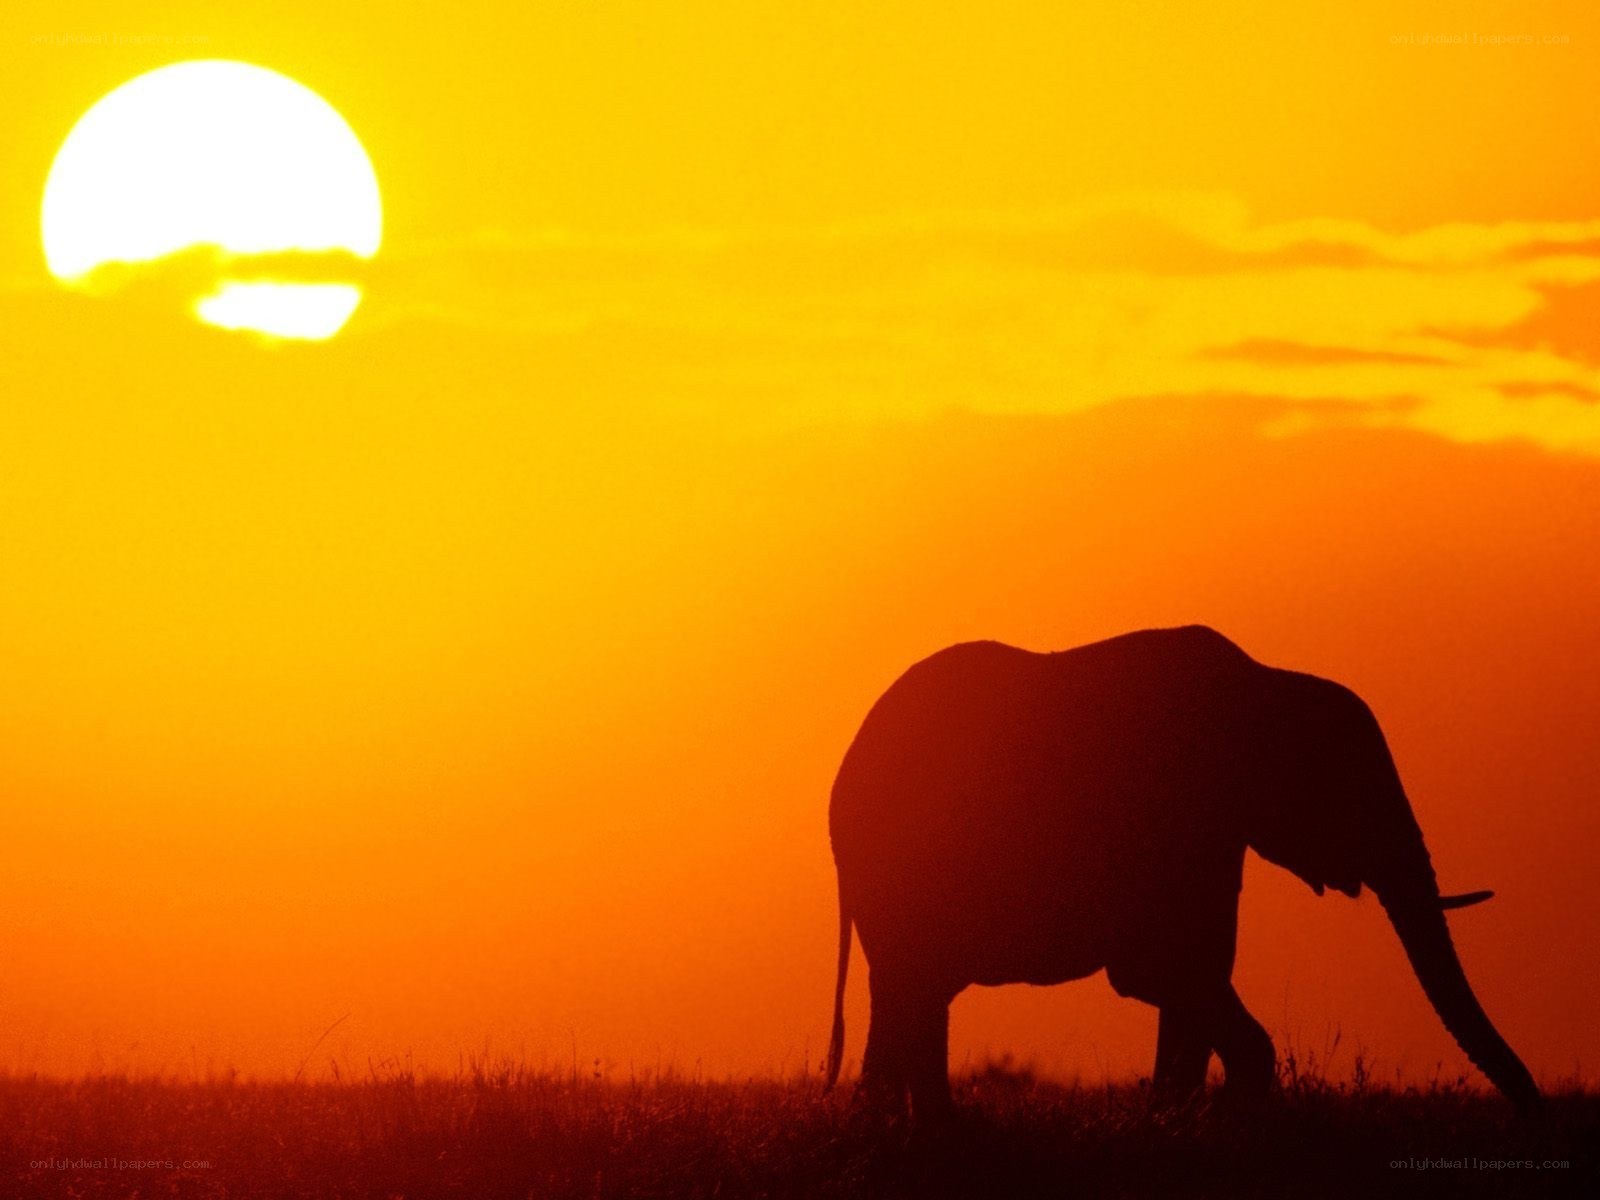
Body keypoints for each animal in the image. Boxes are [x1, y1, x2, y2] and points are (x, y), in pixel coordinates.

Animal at [823, 625, 1540, 1118]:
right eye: (1354, 793)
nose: (1529, 1111)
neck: (1266, 684)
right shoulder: (1173, 817)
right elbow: (1159, 969)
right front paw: (1215, 1118)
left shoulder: (1216, 837)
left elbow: (1194, 970)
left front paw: (1174, 1116)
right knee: (913, 988)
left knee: (912, 992)